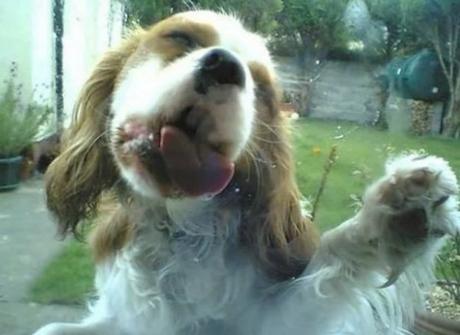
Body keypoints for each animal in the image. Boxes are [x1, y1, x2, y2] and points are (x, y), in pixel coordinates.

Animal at [34, 10, 458, 335]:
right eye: (180, 37)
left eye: (262, 89)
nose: (224, 65)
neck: (178, 227)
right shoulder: (122, 314)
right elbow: (50, 328)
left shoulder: (266, 316)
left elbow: (335, 255)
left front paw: (396, 213)